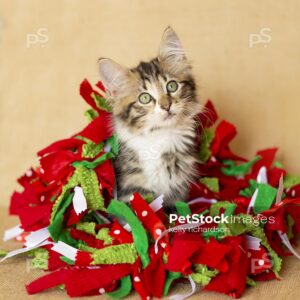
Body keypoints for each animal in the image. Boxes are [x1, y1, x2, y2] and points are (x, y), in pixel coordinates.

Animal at [99, 27, 202, 206]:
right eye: (145, 98)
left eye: (172, 86)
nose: (166, 106)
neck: (161, 137)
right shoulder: (131, 188)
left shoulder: (177, 189)